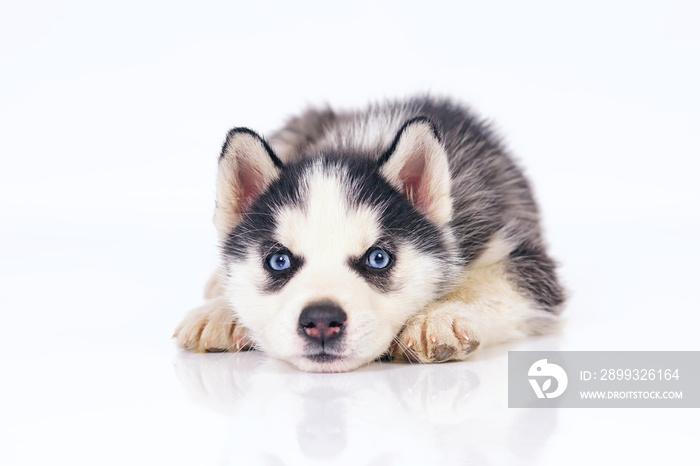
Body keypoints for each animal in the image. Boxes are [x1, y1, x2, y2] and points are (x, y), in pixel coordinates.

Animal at [174, 96, 564, 374]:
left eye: (378, 258)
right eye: (278, 261)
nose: (321, 321)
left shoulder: (525, 258)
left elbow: (491, 281)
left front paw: (439, 316)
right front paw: (220, 311)